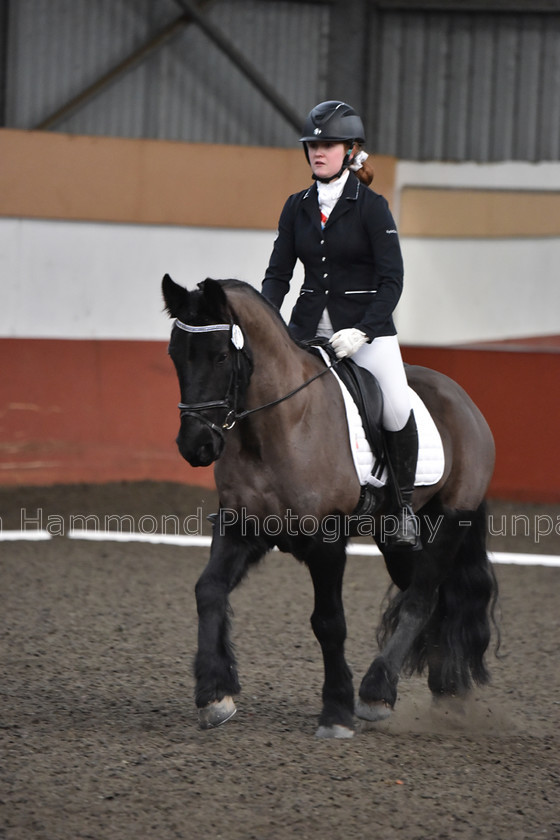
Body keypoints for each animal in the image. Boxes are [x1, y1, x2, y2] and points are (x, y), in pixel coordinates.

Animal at [161, 272, 498, 740]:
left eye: (221, 356)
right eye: (175, 355)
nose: (196, 446)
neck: (275, 427)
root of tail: (463, 401)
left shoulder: (326, 541)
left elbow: (328, 622)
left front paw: (336, 712)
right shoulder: (241, 527)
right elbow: (208, 591)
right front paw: (214, 695)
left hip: (448, 522)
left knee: (421, 599)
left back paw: (377, 693)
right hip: (397, 539)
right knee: (433, 600)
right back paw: (445, 691)